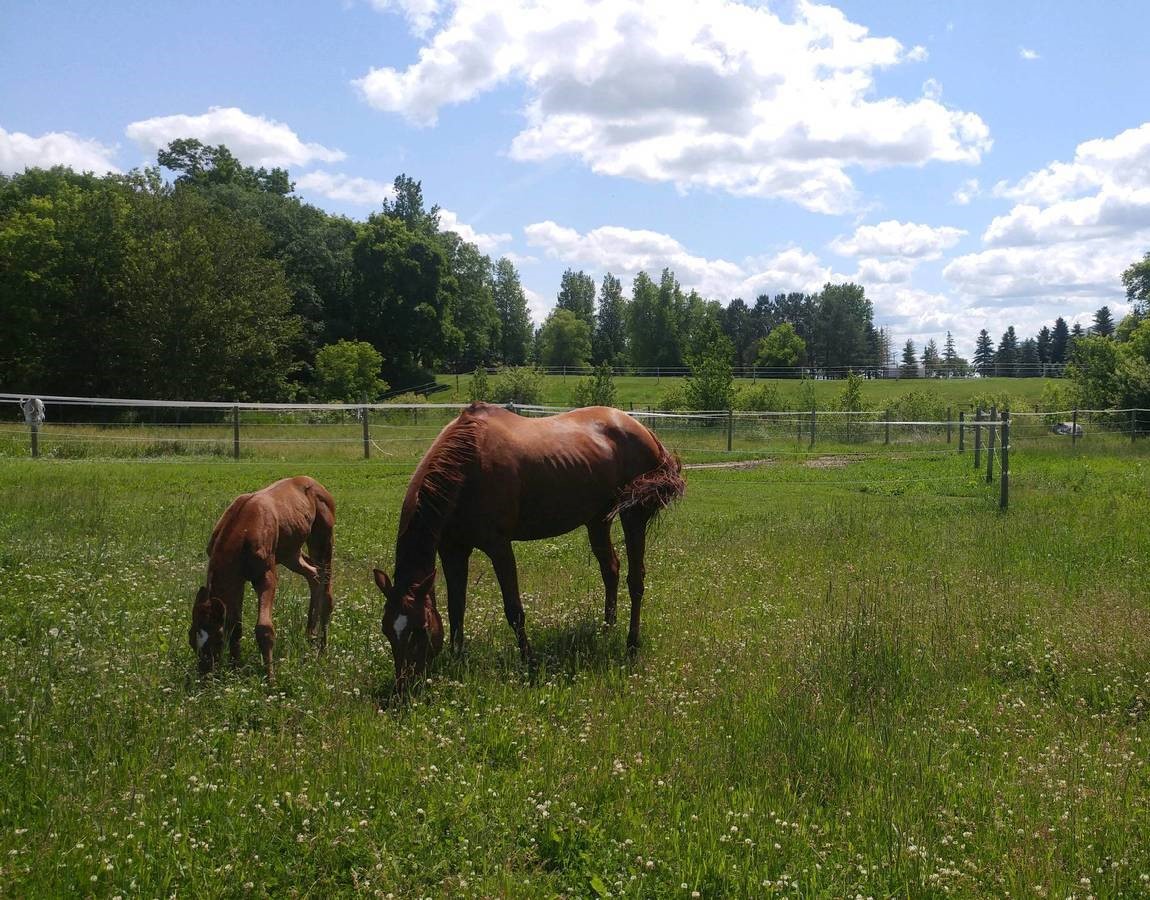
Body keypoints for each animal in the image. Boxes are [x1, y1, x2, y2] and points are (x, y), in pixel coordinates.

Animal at [190, 475, 335, 680]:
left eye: (216, 640)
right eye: (191, 638)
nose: (204, 674)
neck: (241, 529)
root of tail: (314, 482)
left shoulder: (266, 577)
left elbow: (264, 629)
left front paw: (270, 678)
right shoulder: (237, 580)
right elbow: (235, 624)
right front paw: (235, 668)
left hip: (322, 540)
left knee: (326, 589)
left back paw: (322, 647)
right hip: (291, 554)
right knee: (313, 575)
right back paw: (310, 636)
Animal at [374, 402, 680, 698]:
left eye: (421, 629)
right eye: (386, 630)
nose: (403, 689)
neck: (466, 468)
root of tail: (643, 430)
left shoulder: (499, 547)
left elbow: (514, 610)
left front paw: (529, 662)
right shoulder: (453, 550)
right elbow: (455, 608)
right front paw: (457, 659)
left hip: (633, 516)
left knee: (635, 579)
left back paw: (631, 644)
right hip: (598, 519)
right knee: (611, 569)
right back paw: (607, 629)